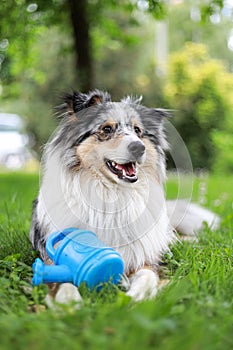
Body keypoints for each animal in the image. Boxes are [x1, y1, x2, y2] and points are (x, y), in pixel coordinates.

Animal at [29, 89, 220, 304]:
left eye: (137, 130)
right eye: (106, 129)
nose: (139, 147)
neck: (111, 194)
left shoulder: (144, 258)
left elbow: (147, 276)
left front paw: (135, 298)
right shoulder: (51, 257)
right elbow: (63, 281)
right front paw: (71, 304)